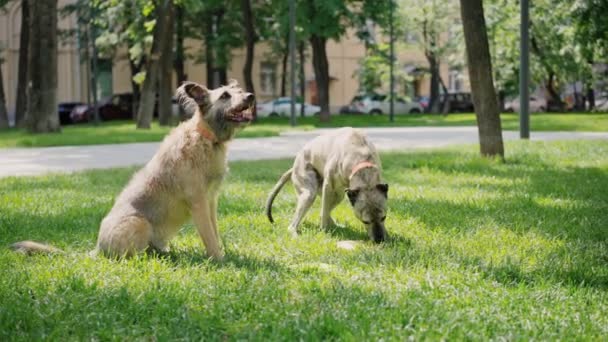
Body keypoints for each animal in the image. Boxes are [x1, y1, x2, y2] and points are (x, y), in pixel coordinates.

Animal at [11, 79, 254, 260]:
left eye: (240, 91)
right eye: (225, 96)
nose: (251, 96)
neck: (207, 138)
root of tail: (98, 249)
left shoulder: (211, 201)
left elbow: (215, 231)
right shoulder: (198, 202)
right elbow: (209, 237)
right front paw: (220, 260)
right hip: (140, 223)